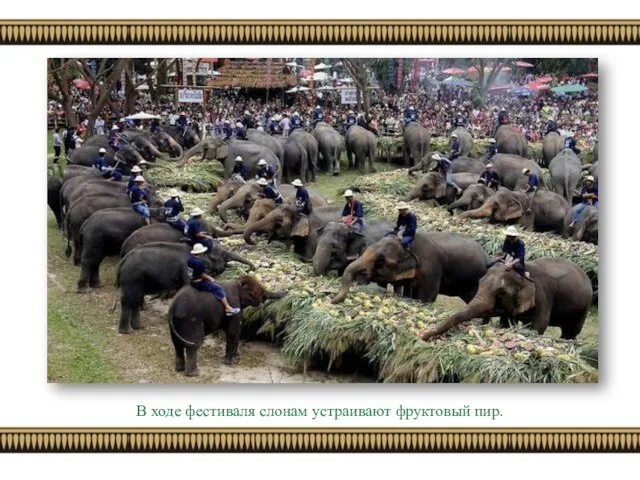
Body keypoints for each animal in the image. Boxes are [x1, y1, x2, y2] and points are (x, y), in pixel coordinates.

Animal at [115, 240, 255, 334]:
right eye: (225, 255)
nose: (251, 268)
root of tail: (122, 261)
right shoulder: (187, 268)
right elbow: (188, 286)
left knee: (136, 299)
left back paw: (138, 327)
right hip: (132, 278)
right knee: (129, 300)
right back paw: (127, 331)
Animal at [332, 232, 488, 304]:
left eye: (381, 259)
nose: (332, 299)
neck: (410, 244)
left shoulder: (431, 268)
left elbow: (426, 297)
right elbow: (408, 292)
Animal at [422, 258, 592, 342]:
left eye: (501, 293)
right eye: (480, 283)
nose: (423, 336)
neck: (522, 273)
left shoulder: (544, 296)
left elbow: (539, 326)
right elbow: (506, 323)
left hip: (583, 308)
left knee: (571, 331)